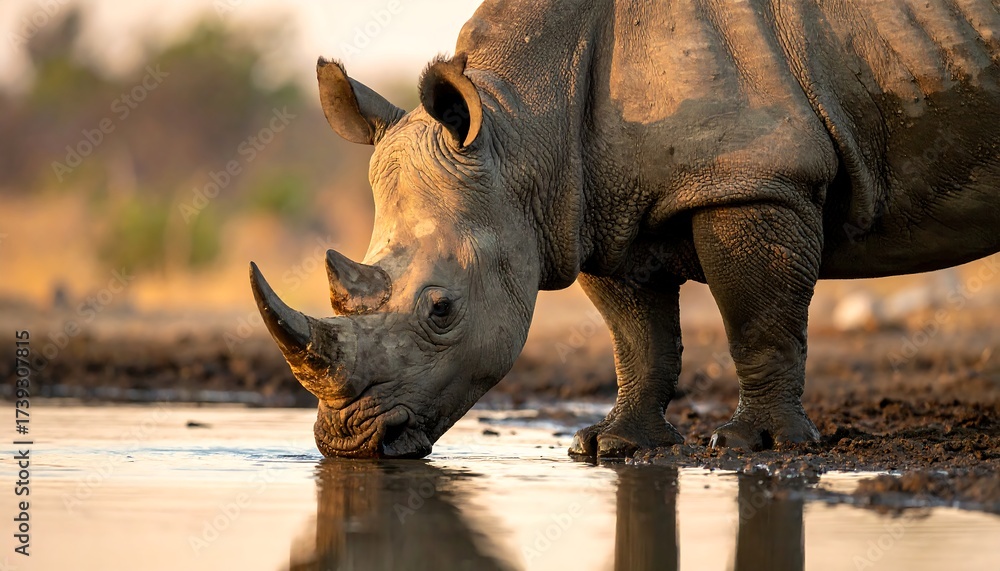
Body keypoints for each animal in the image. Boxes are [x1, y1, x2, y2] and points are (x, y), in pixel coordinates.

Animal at [250, 0, 1000, 459]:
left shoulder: (756, 174)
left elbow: (758, 321)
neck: (522, 126)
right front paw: (611, 446)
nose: (346, 443)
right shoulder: (594, 205)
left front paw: (755, 444)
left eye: (441, 310)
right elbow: (639, 338)